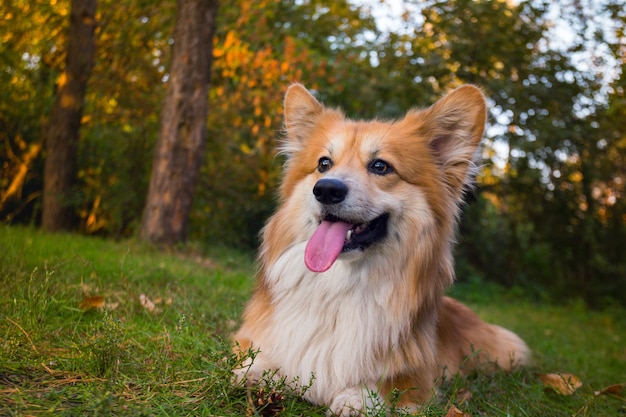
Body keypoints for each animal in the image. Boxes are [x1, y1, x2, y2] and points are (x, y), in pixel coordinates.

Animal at [233, 83, 528, 414]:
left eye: (380, 166)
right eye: (324, 163)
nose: (326, 189)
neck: (340, 286)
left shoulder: (419, 377)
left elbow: (388, 384)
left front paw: (356, 398)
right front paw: (258, 370)